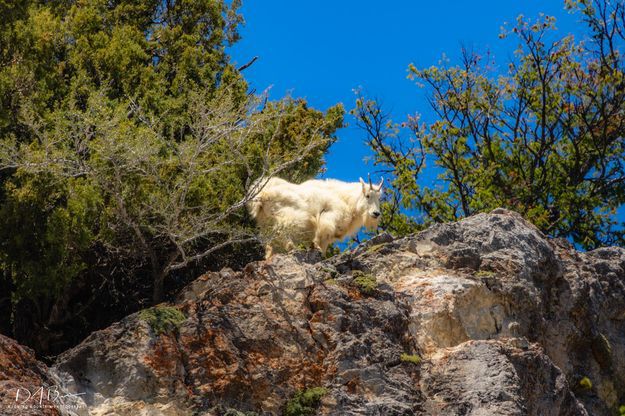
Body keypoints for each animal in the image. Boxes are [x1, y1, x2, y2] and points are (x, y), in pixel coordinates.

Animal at [246, 176, 382, 256]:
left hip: (265, 223)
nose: (376, 213)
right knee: (282, 231)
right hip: (288, 216)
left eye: (379, 197)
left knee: (269, 243)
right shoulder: (327, 221)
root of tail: (262, 194)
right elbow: (320, 242)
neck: (345, 199)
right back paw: (292, 247)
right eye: (368, 195)